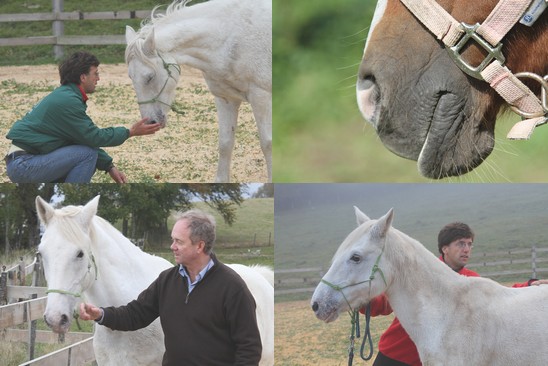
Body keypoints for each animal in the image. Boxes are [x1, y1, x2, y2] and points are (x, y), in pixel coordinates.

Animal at [123, 0, 270, 182]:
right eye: (131, 77)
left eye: (150, 77)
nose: (149, 122)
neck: (229, 36)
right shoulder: (225, 98)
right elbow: (225, 143)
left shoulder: (261, 97)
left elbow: (267, 144)